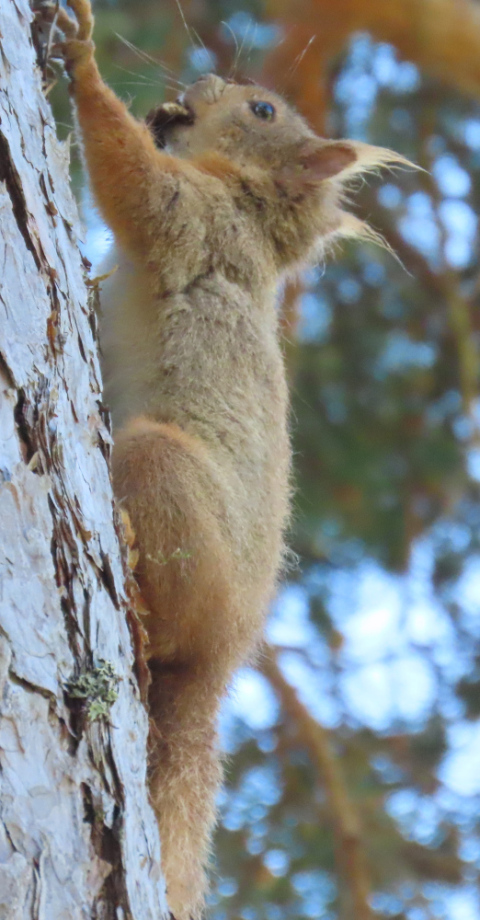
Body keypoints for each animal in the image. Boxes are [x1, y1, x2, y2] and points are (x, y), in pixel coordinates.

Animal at [37, 1, 411, 916]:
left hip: (160, 467)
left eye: (264, 109)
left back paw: (133, 580)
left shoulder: (199, 220)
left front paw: (85, 60)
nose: (203, 79)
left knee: (165, 630)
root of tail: (222, 666)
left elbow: (134, 184)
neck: (258, 211)